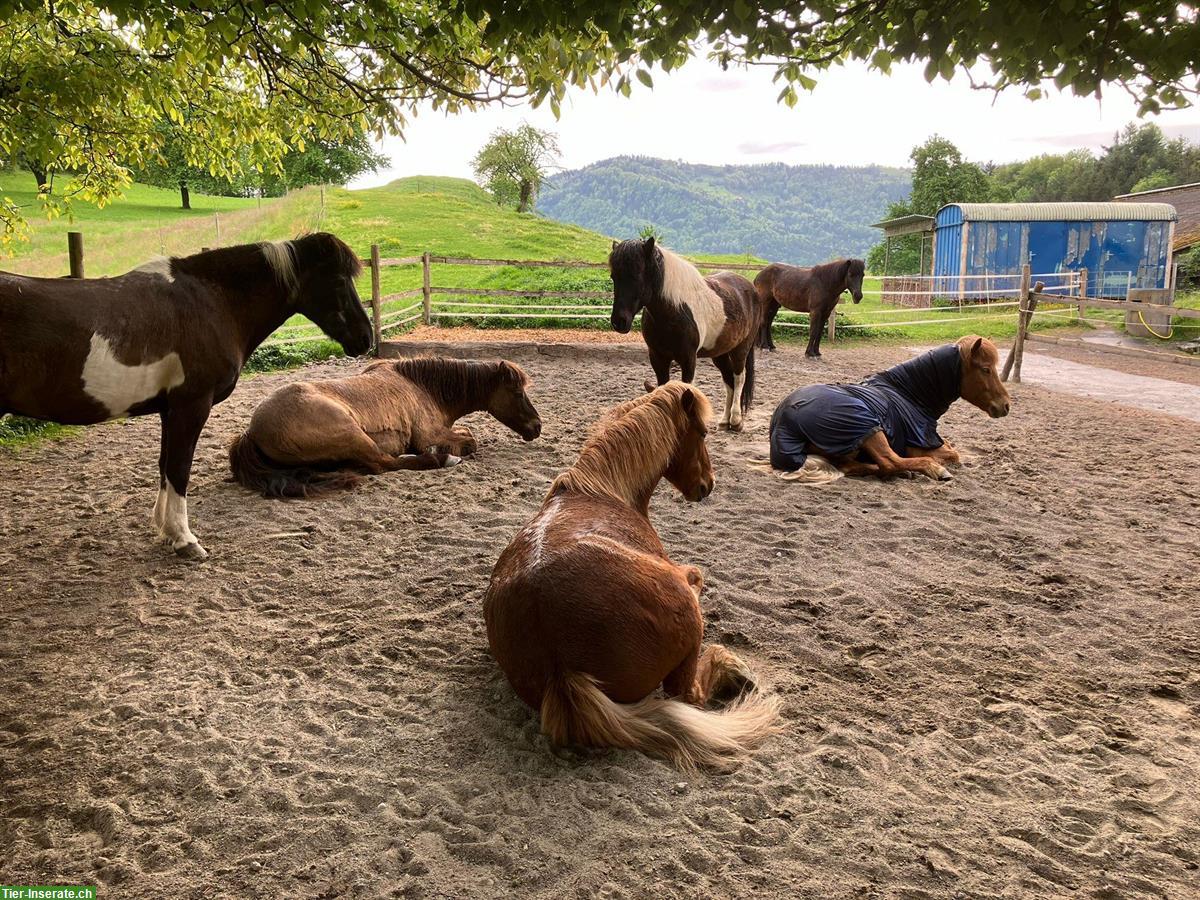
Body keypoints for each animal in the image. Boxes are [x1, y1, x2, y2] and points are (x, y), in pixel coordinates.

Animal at [0, 234, 374, 556]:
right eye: (339, 281)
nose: (366, 338)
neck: (212, 301)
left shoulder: (170, 409)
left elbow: (165, 466)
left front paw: (166, 531)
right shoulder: (192, 406)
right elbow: (180, 469)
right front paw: (184, 539)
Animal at [225, 355, 544, 496]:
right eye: (518, 392)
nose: (537, 426)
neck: (424, 387)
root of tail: (251, 432)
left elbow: (466, 432)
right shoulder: (428, 433)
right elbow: (470, 441)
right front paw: (443, 451)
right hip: (352, 435)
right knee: (383, 464)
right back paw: (440, 459)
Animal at [482, 384, 782, 772]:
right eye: (702, 433)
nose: (708, 485)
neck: (605, 489)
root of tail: (562, 667)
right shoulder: (682, 574)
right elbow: (697, 573)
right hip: (689, 627)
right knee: (688, 693)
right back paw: (733, 667)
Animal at [609, 236, 758, 434]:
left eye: (636, 275)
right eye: (614, 277)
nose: (619, 321)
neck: (675, 310)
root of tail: (750, 288)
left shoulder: (688, 359)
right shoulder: (658, 358)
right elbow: (662, 388)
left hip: (741, 349)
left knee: (739, 378)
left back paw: (736, 421)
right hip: (720, 353)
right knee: (728, 381)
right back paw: (724, 421)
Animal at [763, 336, 1008, 482]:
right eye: (986, 369)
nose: (1005, 405)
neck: (908, 394)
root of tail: (785, 424)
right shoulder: (918, 446)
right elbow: (953, 454)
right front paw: (940, 462)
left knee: (851, 467)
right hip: (867, 426)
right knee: (889, 462)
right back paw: (929, 470)